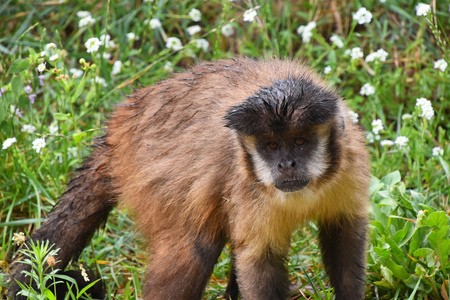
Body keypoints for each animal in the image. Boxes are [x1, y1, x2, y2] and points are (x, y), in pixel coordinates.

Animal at [9, 58, 370, 300]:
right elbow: (257, 260)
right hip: (150, 173)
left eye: (299, 142)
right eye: (271, 146)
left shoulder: (350, 162)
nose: (285, 164)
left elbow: (345, 234)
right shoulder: (248, 185)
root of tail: (120, 126)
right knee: (195, 246)